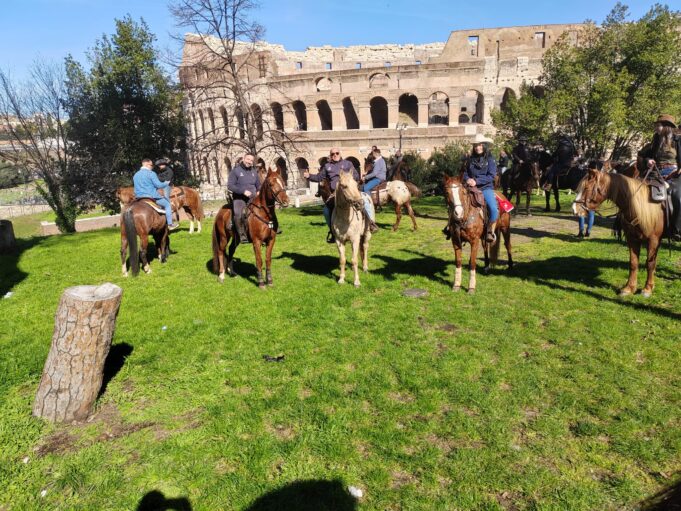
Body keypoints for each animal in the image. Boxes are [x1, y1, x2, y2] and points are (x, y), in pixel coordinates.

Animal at [572, 170, 664, 298]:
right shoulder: (632, 239)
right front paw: (629, 288)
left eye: (586, 188)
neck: (644, 206)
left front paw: (647, 289)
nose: (574, 210)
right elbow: (633, 263)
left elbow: (650, 264)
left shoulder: (654, 240)